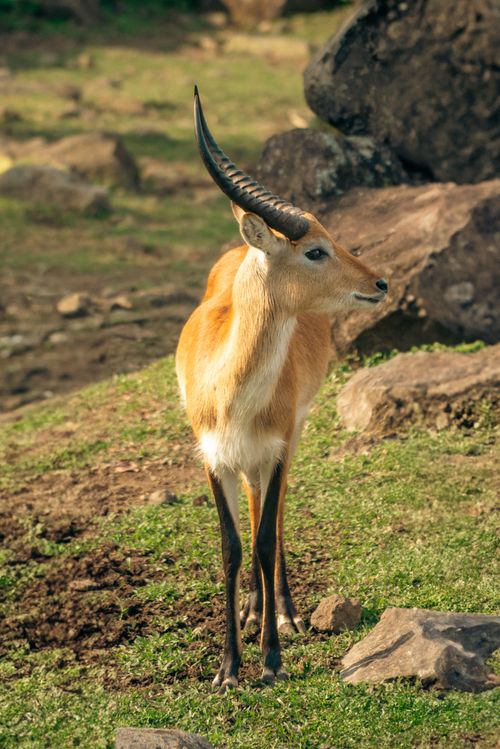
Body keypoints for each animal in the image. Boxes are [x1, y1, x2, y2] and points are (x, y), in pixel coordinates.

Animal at [176, 87, 388, 692]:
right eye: (314, 249)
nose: (380, 282)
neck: (231, 393)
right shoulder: (212, 457)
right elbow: (232, 546)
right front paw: (228, 668)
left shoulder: (274, 447)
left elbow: (267, 538)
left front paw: (271, 658)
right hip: (250, 459)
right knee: (254, 515)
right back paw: (253, 610)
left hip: (292, 437)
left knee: (277, 513)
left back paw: (285, 613)